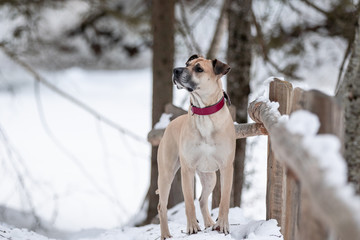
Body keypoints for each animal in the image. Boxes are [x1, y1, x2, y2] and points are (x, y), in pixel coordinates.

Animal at [156, 54, 235, 240]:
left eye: (199, 69)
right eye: (187, 64)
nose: (176, 70)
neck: (204, 113)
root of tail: (169, 125)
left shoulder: (226, 167)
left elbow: (224, 200)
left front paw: (222, 225)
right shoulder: (188, 169)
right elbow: (188, 202)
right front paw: (192, 227)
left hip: (210, 177)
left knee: (202, 200)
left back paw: (210, 223)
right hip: (166, 174)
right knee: (162, 206)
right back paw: (165, 234)